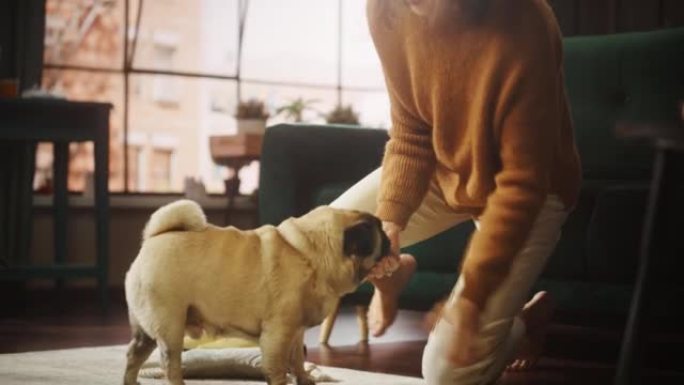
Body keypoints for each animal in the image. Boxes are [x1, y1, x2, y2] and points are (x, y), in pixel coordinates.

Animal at [123, 200, 390, 384]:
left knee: (133, 356)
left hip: (145, 330)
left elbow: (298, 360)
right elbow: (278, 367)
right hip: (170, 326)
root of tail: (154, 238)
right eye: (378, 233)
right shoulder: (278, 333)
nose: (388, 236)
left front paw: (305, 380)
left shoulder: (296, 331)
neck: (310, 254)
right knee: (170, 364)